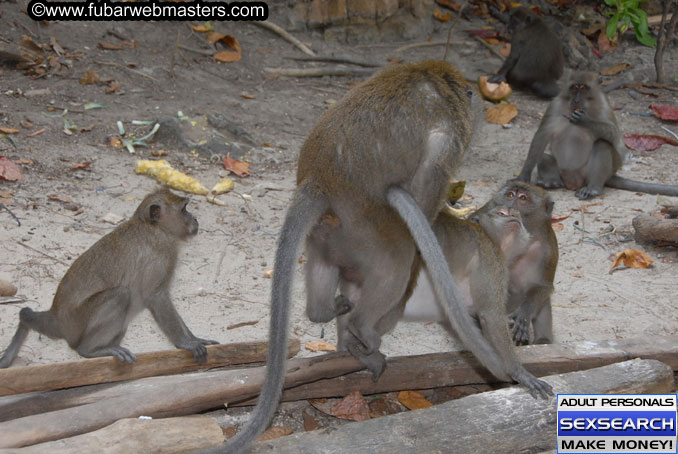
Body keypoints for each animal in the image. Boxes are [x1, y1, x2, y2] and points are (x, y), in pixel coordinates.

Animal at [0, 186, 218, 368]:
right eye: (184, 209)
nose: (195, 218)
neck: (153, 226)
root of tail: (56, 317)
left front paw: (195, 338)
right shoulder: (162, 251)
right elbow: (156, 296)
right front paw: (187, 342)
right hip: (78, 323)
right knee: (121, 295)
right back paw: (89, 350)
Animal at [476, 182, 560, 344]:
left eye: (522, 198)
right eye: (510, 195)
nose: (510, 207)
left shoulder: (549, 249)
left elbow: (544, 286)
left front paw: (524, 315)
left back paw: (543, 339)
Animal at [520, 71, 678, 199]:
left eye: (583, 88)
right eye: (574, 87)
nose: (576, 100)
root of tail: (573, 181)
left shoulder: (604, 106)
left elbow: (615, 136)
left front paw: (585, 121)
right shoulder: (555, 105)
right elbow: (542, 135)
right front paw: (523, 175)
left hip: (588, 173)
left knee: (603, 144)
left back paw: (593, 188)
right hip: (562, 171)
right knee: (543, 154)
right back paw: (551, 182)